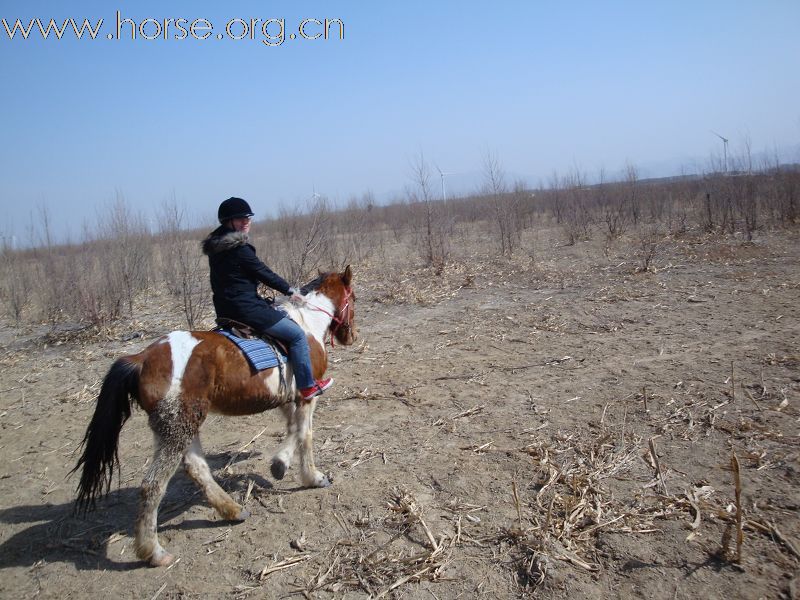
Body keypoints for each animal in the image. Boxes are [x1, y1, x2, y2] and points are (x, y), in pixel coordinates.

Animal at [72, 268, 356, 568]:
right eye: (353, 298)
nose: (351, 336)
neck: (306, 323)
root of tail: (142, 358)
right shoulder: (306, 395)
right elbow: (305, 434)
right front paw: (313, 477)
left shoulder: (285, 399)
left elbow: (292, 429)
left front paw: (279, 464)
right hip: (178, 428)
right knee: (153, 485)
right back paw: (154, 552)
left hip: (180, 425)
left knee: (196, 468)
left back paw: (232, 510)